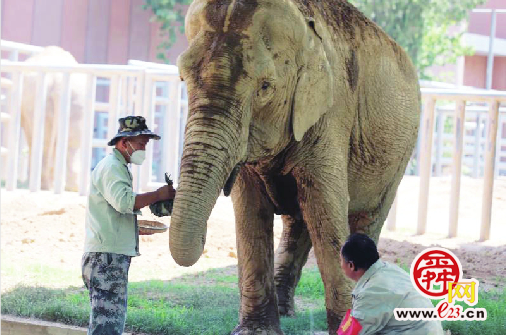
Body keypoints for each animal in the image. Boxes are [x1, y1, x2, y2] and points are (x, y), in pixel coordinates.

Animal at [20, 46, 86, 192]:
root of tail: (59, 81)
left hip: (39, 104)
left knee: (44, 143)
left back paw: (45, 186)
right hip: (76, 102)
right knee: (71, 144)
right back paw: (71, 188)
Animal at [170, 0, 420, 334]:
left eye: (265, 87)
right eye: (183, 78)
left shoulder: (331, 112)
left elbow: (325, 210)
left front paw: (345, 325)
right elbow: (250, 212)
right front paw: (255, 330)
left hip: (398, 155)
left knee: (365, 219)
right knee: (298, 224)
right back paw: (285, 311)